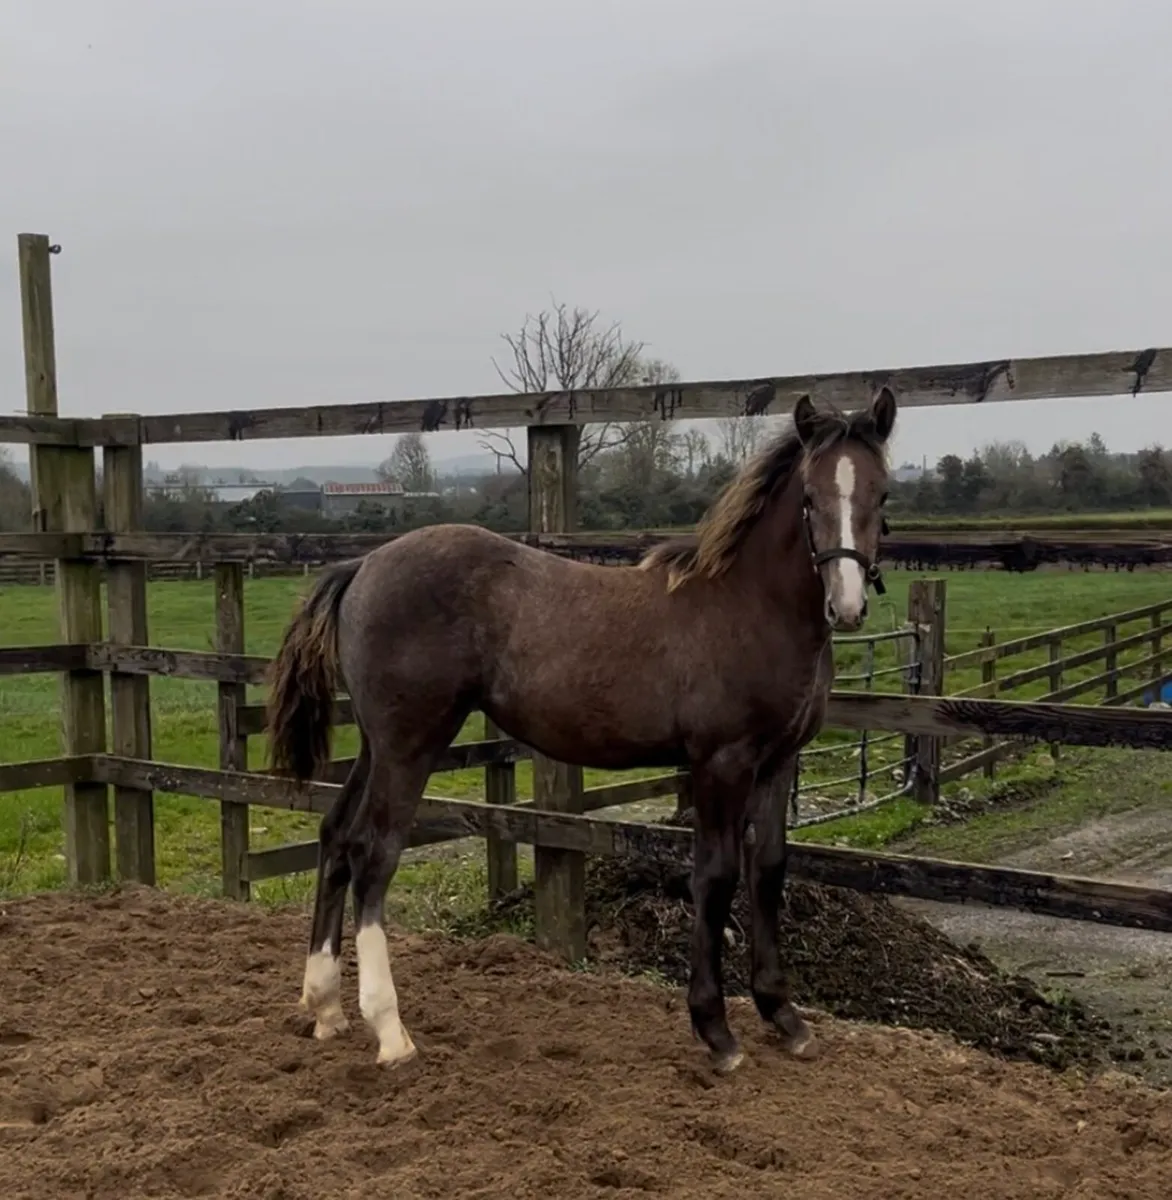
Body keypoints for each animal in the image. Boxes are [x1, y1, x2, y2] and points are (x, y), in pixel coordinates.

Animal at [266, 388, 897, 1074]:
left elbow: (771, 869)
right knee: (372, 853)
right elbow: (716, 876)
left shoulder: (779, 761)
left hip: (376, 745)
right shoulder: (720, 763)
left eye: (882, 494)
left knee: (335, 836)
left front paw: (782, 1014)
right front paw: (715, 1029)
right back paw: (389, 1030)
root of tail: (363, 564)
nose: (848, 605)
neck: (747, 609)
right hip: (412, 743)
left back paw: (325, 1007)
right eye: (809, 496)